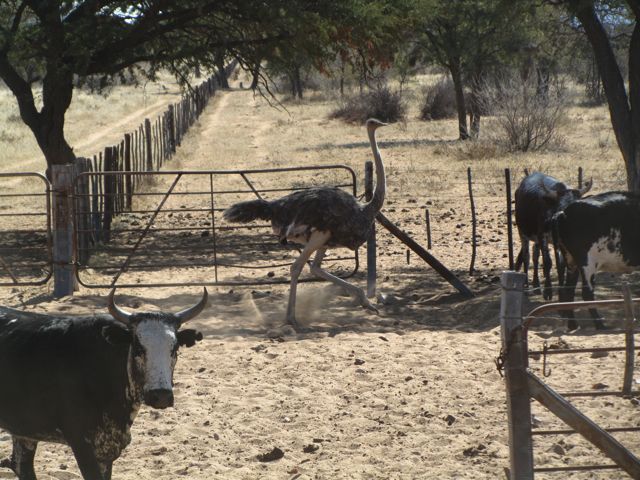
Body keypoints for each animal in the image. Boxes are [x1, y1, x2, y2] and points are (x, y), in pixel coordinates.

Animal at [512, 172, 592, 300]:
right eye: (562, 206)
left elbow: (562, 265)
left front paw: (561, 291)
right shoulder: (542, 235)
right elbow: (548, 262)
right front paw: (548, 291)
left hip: (536, 238)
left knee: (535, 254)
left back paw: (536, 285)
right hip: (522, 232)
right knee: (526, 257)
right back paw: (526, 288)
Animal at [552, 191, 636, 330]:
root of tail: (564, 213)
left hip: (571, 262)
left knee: (569, 290)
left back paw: (573, 325)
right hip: (587, 263)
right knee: (587, 293)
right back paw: (599, 324)